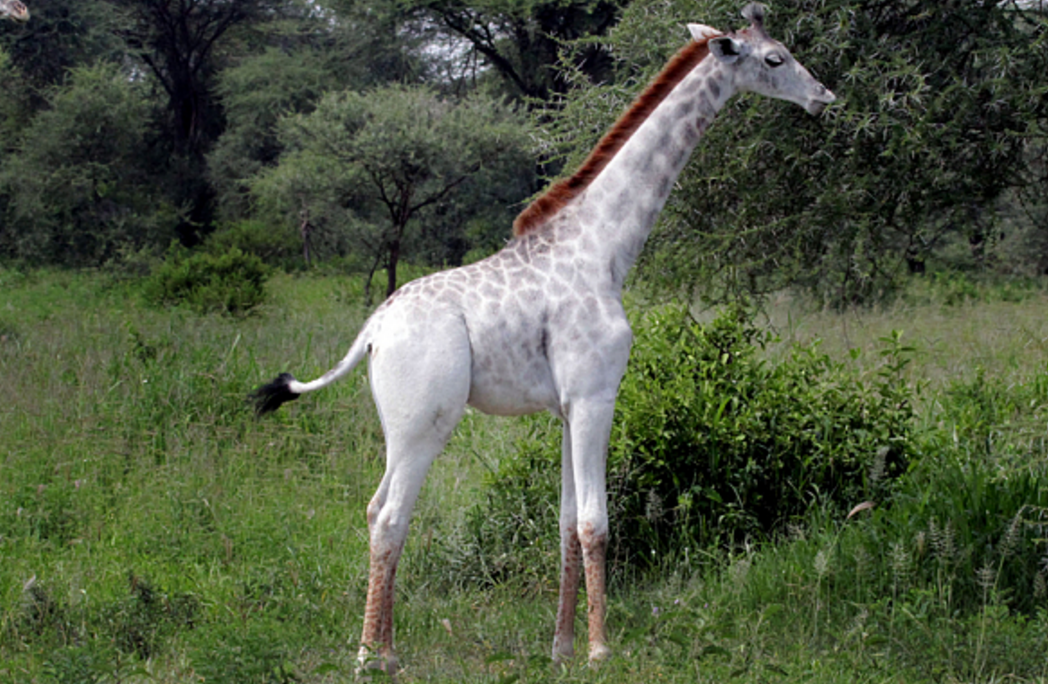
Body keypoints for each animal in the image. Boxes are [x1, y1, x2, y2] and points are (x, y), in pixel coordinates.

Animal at [253, 3, 835, 675]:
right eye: (775, 58)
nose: (824, 97)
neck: (604, 249)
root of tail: (373, 330)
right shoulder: (595, 396)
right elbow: (595, 522)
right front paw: (601, 651)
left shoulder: (564, 408)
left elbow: (562, 522)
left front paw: (560, 648)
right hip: (424, 422)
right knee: (393, 516)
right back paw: (368, 658)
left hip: (398, 427)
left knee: (378, 510)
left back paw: (389, 653)